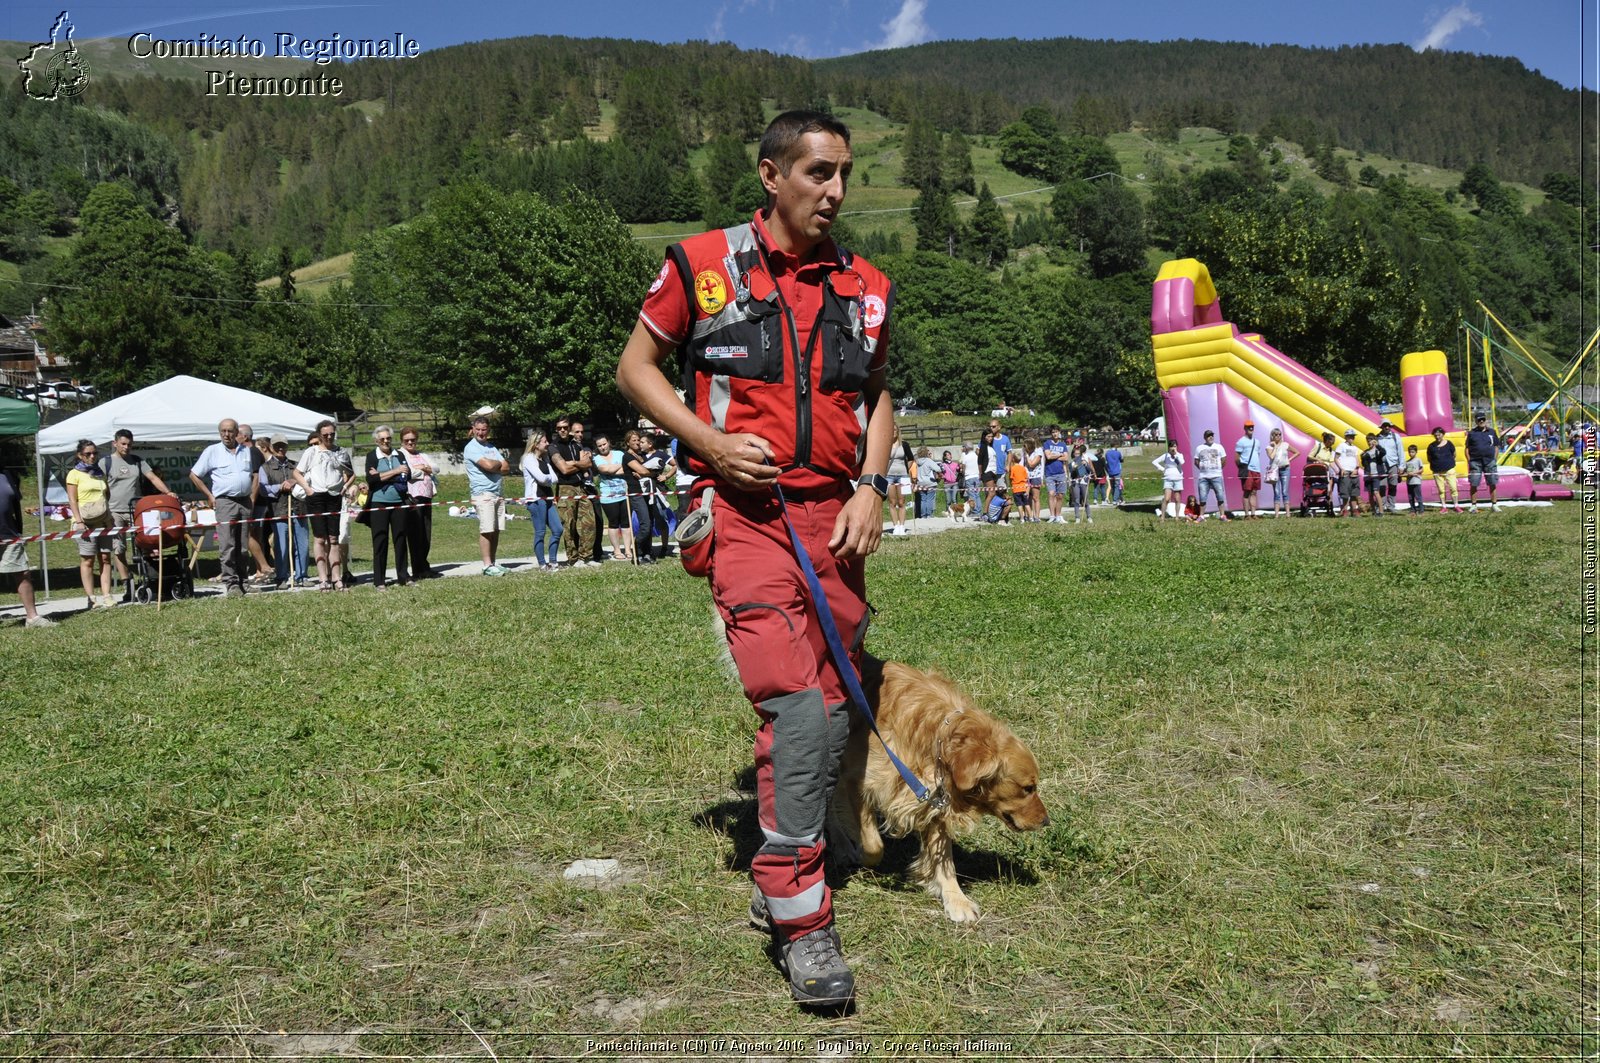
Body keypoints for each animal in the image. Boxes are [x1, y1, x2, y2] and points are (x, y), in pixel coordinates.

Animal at [832, 656, 1056, 922]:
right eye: (1028, 788)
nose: (1046, 821)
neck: (940, 735)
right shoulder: (856, 780)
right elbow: (874, 845)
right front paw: (859, 854)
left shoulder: (936, 796)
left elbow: (944, 859)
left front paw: (955, 899)